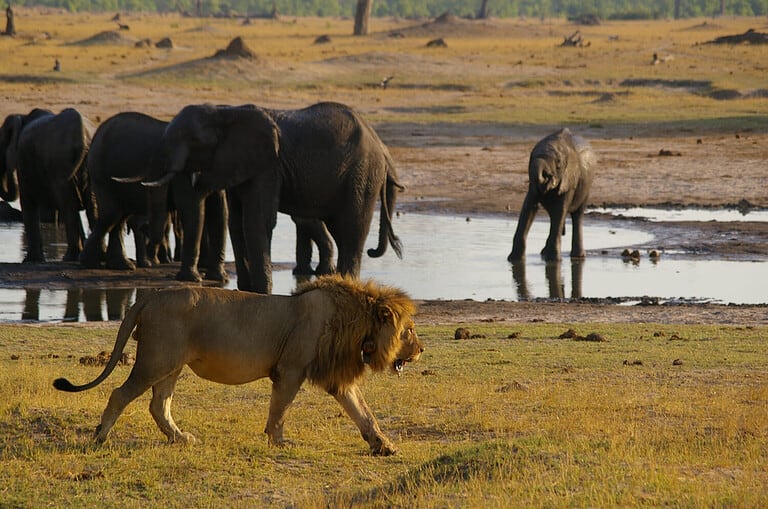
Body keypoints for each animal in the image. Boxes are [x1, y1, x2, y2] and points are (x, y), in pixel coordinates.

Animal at [0, 108, 96, 262]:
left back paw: (69, 258)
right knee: (91, 205)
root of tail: (82, 134)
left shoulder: (23, 160)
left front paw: (31, 261)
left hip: (60, 164)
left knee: (68, 205)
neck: (23, 117)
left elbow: (28, 202)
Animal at [53, 275, 423, 455]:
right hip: (155, 360)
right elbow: (279, 409)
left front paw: (384, 446)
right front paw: (279, 442)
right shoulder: (290, 370)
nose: (421, 349)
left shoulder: (338, 379)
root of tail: (150, 295)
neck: (355, 325)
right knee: (120, 394)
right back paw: (100, 438)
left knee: (158, 404)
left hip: (171, 365)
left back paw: (180, 438)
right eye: (409, 330)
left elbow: (364, 413)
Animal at [80, 111, 229, 283]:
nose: (145, 227)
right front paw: (195, 279)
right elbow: (193, 209)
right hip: (100, 170)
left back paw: (120, 265)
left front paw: (220, 279)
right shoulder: (183, 172)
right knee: (113, 214)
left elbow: (220, 211)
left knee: (120, 215)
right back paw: (90, 264)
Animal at [147, 101, 404, 294]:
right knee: (341, 231)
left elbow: (257, 220)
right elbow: (237, 223)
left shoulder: (268, 165)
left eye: (193, 140)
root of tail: (380, 144)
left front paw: (262, 292)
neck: (225, 111)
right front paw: (247, 290)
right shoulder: (237, 163)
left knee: (351, 229)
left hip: (363, 173)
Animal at [508, 128, 596, 262]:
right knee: (553, 216)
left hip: (586, 187)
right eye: (531, 157)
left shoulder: (570, 179)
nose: (547, 176)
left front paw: (554, 261)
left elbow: (560, 210)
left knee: (577, 215)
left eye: (558, 163)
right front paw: (514, 260)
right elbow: (529, 207)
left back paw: (577, 256)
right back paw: (544, 253)